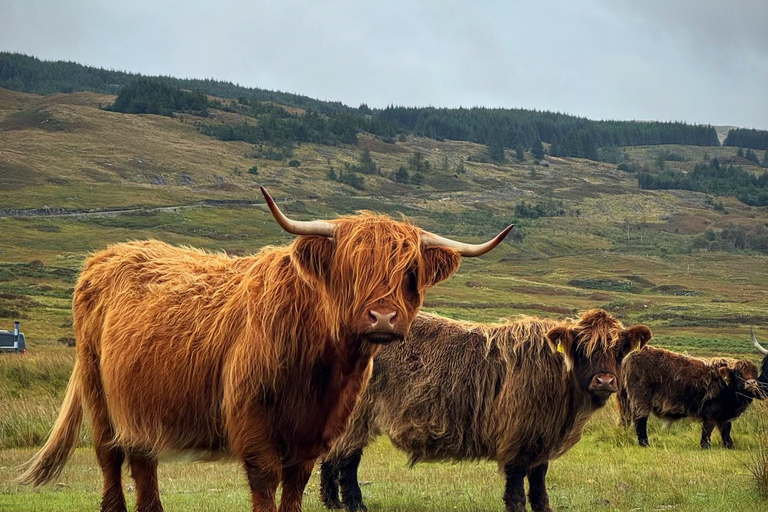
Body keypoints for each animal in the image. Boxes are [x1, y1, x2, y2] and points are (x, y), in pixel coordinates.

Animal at [18, 188, 512, 512]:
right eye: (350, 268)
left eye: (410, 272)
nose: (384, 318)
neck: (322, 368)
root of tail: (102, 256)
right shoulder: (251, 420)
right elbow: (265, 482)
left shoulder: (316, 431)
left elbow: (295, 485)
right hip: (98, 392)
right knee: (109, 457)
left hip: (142, 404)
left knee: (143, 461)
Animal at [318, 308, 648, 512]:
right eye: (582, 348)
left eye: (619, 350)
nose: (604, 380)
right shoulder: (518, 435)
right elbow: (517, 483)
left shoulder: (541, 438)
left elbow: (538, 481)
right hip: (358, 415)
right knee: (346, 460)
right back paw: (354, 504)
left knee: (331, 457)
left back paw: (332, 502)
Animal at [620, 344, 764, 448]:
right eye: (739, 373)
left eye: (755, 372)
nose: (751, 383)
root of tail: (632, 354)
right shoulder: (711, 412)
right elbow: (708, 429)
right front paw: (705, 446)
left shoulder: (724, 415)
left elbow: (726, 431)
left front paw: (729, 446)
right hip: (640, 400)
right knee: (640, 421)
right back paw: (644, 444)